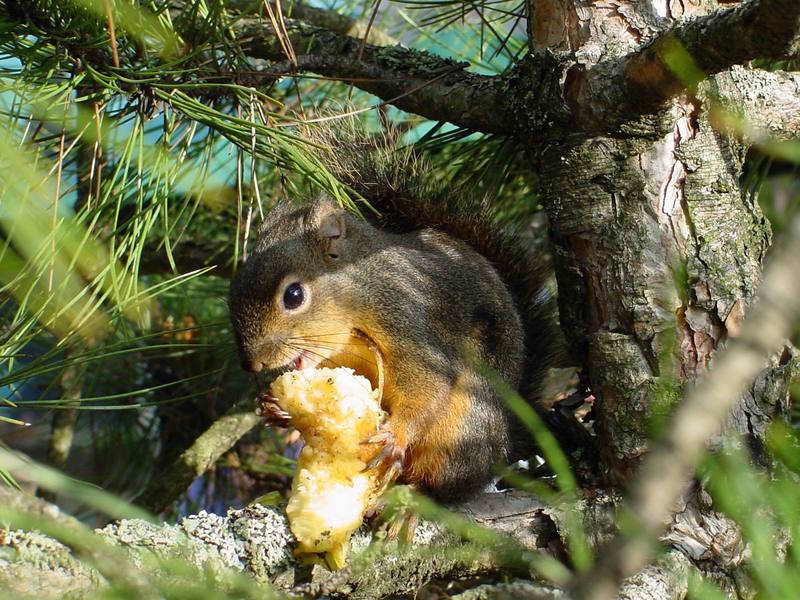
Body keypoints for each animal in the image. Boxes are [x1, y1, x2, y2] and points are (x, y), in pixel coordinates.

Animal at [228, 124, 560, 504]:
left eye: (294, 295)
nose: (251, 364)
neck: (354, 305)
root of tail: (502, 446)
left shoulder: (406, 315)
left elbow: (428, 383)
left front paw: (395, 434)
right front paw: (274, 407)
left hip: (465, 425)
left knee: (447, 484)